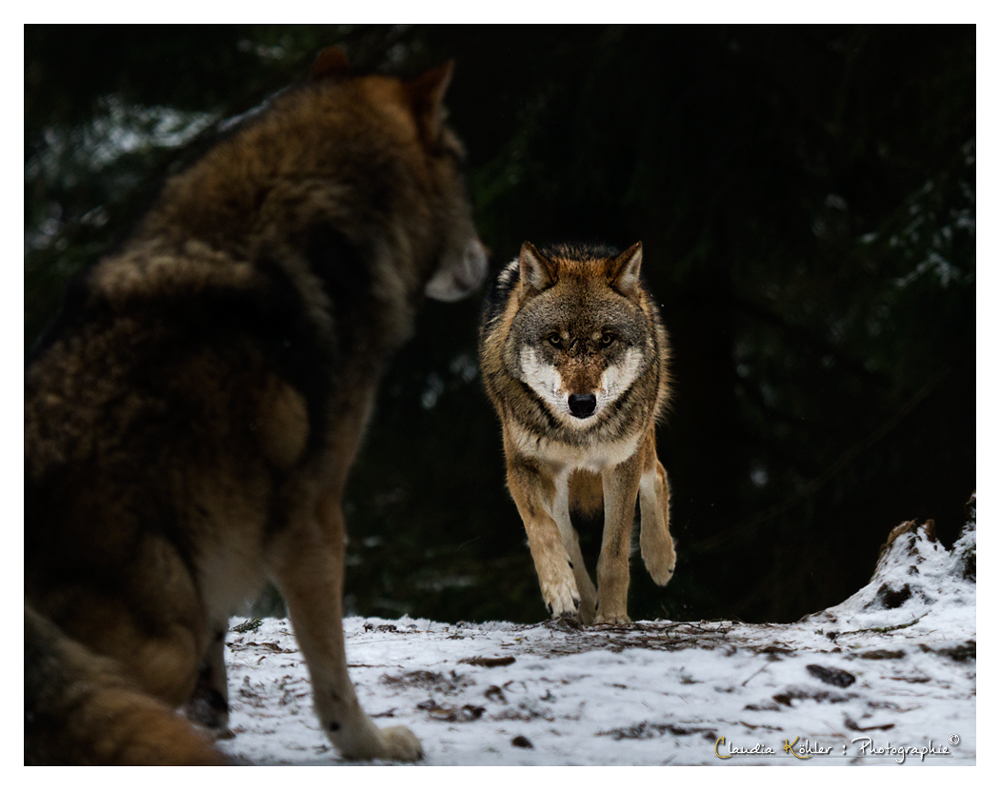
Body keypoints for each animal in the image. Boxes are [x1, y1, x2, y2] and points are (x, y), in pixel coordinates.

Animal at [24, 46, 488, 764]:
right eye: (461, 168)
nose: (490, 261)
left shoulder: (226, 509)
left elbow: (224, 642)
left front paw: (215, 715)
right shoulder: (314, 519)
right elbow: (331, 669)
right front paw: (368, 742)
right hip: (168, 627)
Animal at [478, 244, 680, 628]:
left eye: (607, 339)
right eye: (555, 339)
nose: (583, 402)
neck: (578, 435)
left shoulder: (620, 463)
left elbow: (613, 552)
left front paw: (612, 615)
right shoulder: (524, 467)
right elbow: (544, 531)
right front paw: (560, 591)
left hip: (638, 438)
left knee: (658, 473)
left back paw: (660, 560)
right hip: (559, 484)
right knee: (566, 535)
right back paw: (581, 603)